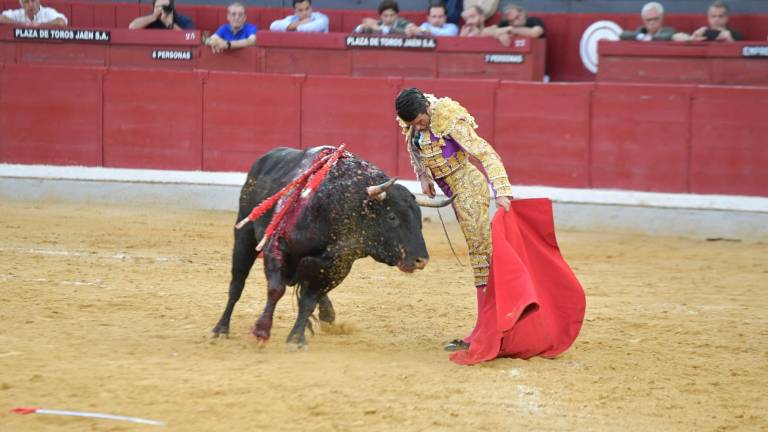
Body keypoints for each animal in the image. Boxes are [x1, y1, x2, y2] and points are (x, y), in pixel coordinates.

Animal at [210, 147, 452, 350]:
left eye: (419, 220)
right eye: (392, 217)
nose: (421, 260)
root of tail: (264, 159)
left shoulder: (336, 267)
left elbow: (308, 301)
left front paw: (296, 338)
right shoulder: (277, 248)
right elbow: (276, 290)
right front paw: (261, 331)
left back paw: (326, 315)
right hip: (244, 235)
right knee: (237, 284)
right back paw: (221, 329)